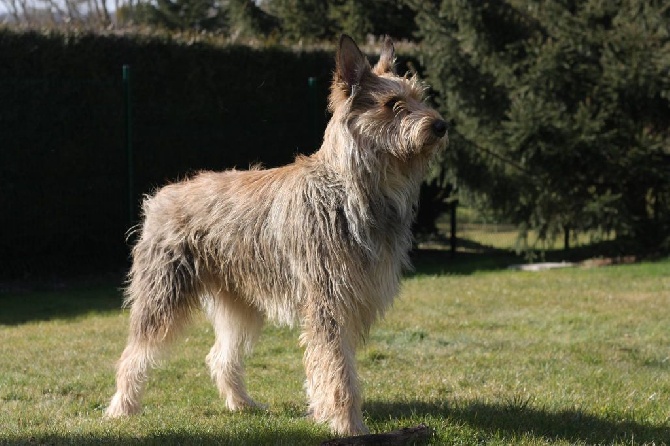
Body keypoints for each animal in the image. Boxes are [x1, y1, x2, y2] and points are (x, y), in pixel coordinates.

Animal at [106, 34, 452, 436]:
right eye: (393, 104)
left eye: (418, 96)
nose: (441, 125)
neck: (350, 189)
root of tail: (160, 196)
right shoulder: (328, 302)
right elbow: (338, 370)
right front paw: (349, 426)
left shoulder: (344, 301)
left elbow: (326, 367)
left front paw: (322, 413)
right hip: (162, 297)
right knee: (134, 354)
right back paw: (122, 408)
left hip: (240, 306)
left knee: (219, 356)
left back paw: (242, 404)